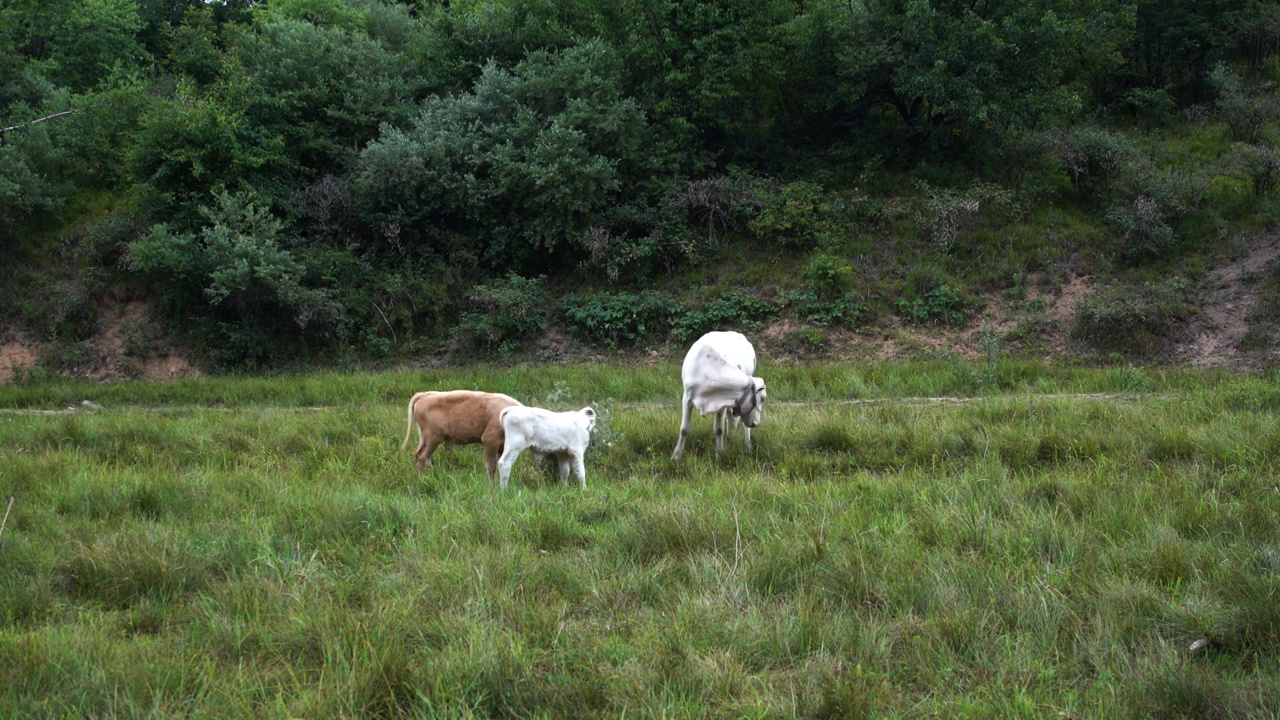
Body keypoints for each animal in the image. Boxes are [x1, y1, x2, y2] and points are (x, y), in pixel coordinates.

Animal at [675, 330, 762, 458]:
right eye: (762, 398)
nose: (756, 423)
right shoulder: (687, 398)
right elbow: (684, 429)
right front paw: (676, 456)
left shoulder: (723, 403)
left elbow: (719, 430)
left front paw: (719, 455)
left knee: (743, 426)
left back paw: (747, 446)